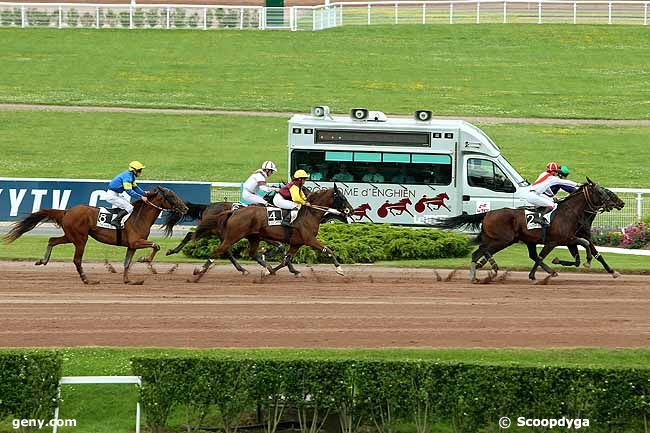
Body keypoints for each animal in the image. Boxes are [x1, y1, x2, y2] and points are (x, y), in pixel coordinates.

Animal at [4, 186, 187, 284]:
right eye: (171, 196)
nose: (185, 208)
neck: (139, 216)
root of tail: (67, 211)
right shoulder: (136, 242)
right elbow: (156, 245)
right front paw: (145, 260)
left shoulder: (131, 245)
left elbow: (127, 263)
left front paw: (129, 280)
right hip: (80, 239)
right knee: (77, 259)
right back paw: (87, 280)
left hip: (71, 236)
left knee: (52, 240)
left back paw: (43, 261)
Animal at [185, 184, 352, 282]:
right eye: (342, 197)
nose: (350, 210)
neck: (309, 213)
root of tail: (233, 212)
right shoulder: (309, 239)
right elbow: (328, 250)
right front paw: (340, 269)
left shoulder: (296, 243)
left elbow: (285, 260)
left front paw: (273, 271)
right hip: (233, 235)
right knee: (219, 250)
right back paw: (199, 271)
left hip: (253, 237)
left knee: (250, 253)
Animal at [430, 178, 616, 282]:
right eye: (602, 192)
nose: (618, 203)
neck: (569, 213)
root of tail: (487, 213)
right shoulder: (559, 239)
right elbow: (583, 244)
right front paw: (587, 261)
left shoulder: (567, 239)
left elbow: (577, 251)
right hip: (503, 240)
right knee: (480, 252)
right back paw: (480, 273)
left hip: (505, 240)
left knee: (481, 252)